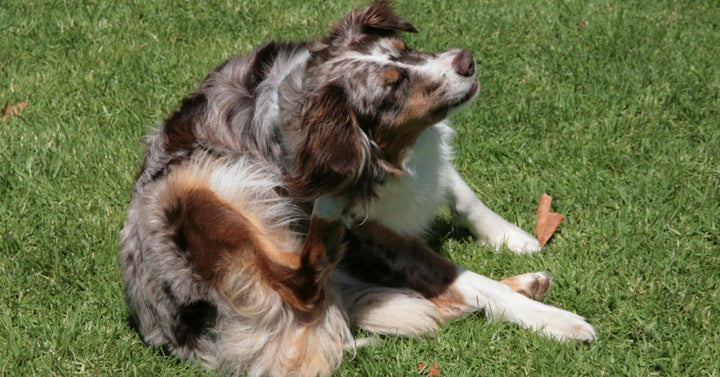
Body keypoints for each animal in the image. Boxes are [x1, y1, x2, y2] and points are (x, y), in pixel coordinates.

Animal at [119, 1, 596, 374]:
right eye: (393, 88)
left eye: (404, 50)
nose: (466, 59)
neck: (388, 154)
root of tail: (174, 335)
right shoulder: (385, 241)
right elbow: (471, 281)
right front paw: (556, 322)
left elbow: (462, 196)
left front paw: (511, 237)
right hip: (201, 183)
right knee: (300, 284)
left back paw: (526, 281)